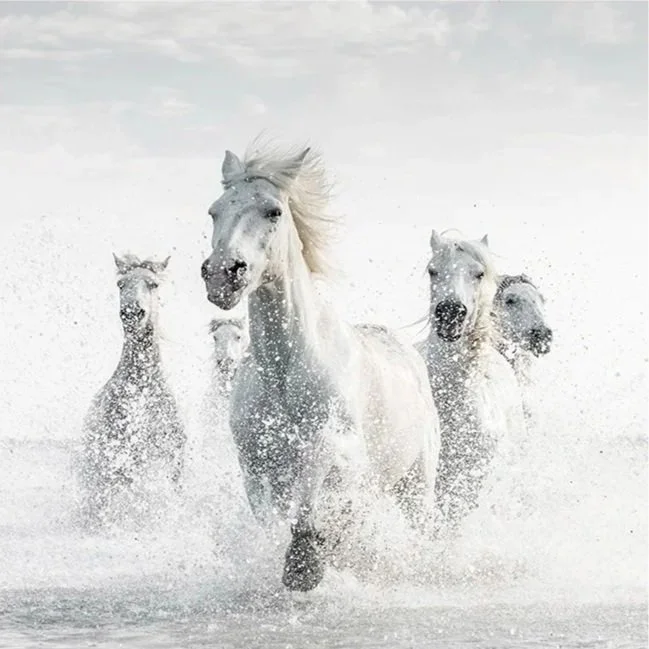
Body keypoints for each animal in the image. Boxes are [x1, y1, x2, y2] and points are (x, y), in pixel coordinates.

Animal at [200, 141, 440, 591]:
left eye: (273, 211)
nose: (223, 274)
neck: (284, 368)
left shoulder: (336, 447)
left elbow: (311, 500)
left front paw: (305, 564)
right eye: (214, 211)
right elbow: (271, 518)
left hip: (417, 483)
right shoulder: (255, 464)